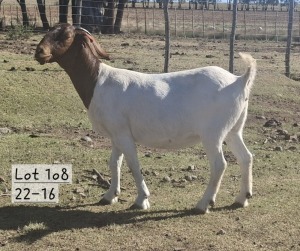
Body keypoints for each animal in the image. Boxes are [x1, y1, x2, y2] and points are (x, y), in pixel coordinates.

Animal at [34, 23, 255, 214]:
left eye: (66, 36)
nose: (39, 52)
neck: (98, 81)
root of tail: (238, 81)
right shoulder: (116, 133)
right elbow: (114, 163)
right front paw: (109, 196)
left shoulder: (124, 134)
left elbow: (133, 164)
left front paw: (141, 200)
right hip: (234, 129)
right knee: (246, 157)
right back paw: (242, 198)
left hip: (213, 132)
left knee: (219, 164)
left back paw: (203, 204)